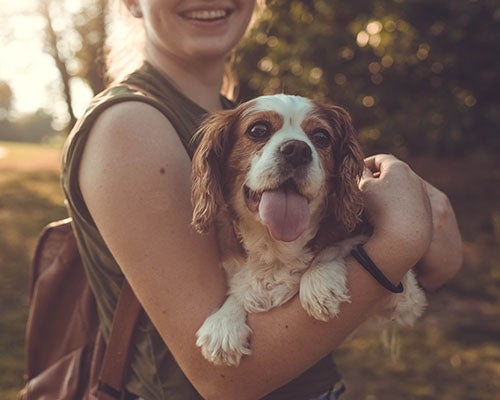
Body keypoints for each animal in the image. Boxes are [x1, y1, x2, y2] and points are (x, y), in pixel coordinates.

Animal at [191, 94, 426, 366]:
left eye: (321, 136)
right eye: (258, 130)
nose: (297, 150)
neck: (277, 246)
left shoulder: (406, 299)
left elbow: (339, 246)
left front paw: (319, 280)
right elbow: (243, 288)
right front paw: (224, 322)